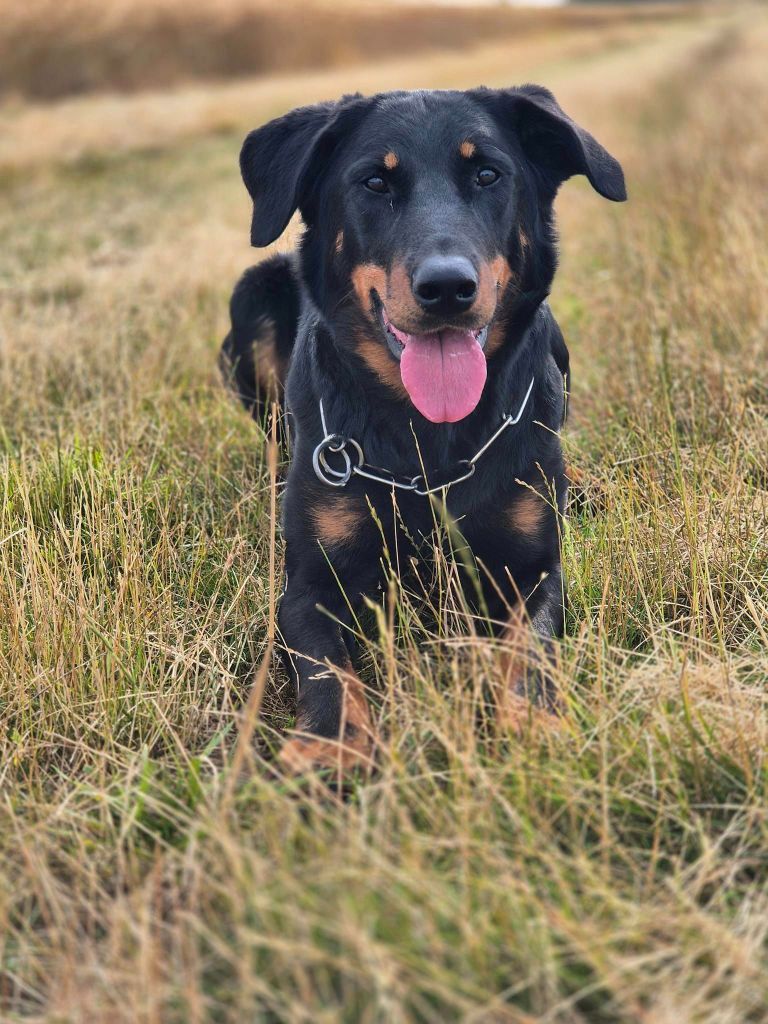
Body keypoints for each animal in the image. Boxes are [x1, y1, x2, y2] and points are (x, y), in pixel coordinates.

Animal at [218, 88, 626, 770]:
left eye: (487, 174)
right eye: (375, 182)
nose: (447, 287)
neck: (430, 446)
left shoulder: (535, 570)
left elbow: (529, 652)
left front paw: (534, 725)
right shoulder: (308, 585)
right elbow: (328, 670)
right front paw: (329, 747)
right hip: (251, 295)